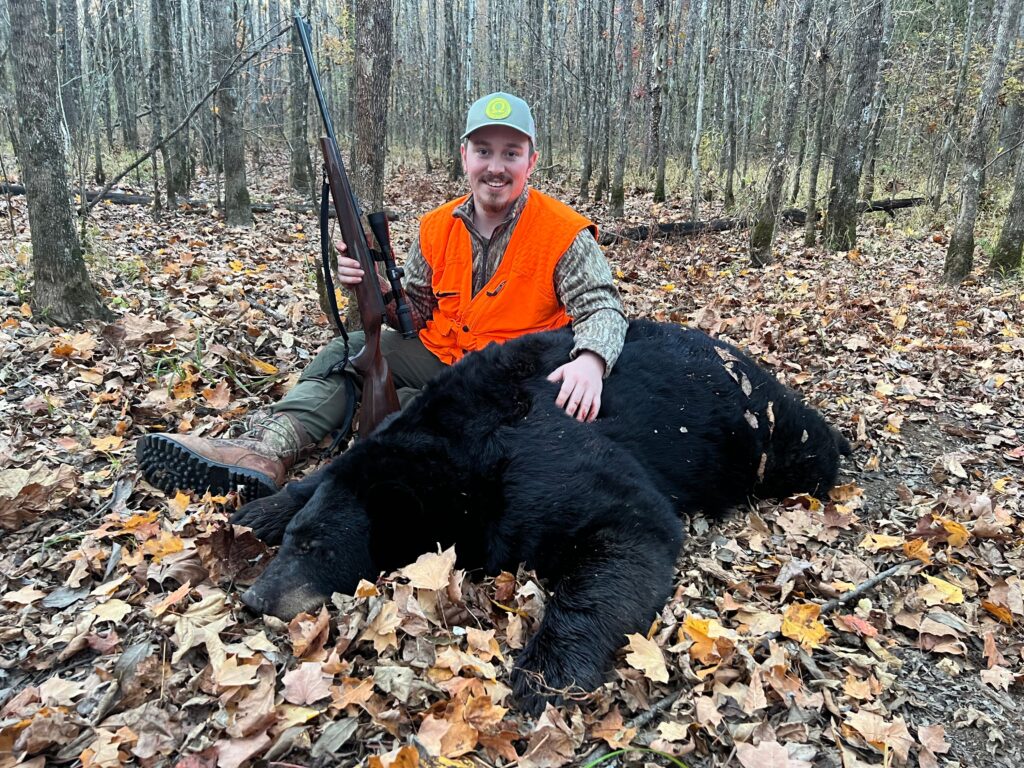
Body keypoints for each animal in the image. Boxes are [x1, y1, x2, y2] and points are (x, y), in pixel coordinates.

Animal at [233, 320, 850, 714]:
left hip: (762, 432)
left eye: (318, 550)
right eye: (296, 541)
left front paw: (545, 673)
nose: (255, 599)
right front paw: (262, 509)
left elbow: (631, 526)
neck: (458, 455)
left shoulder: (544, 464)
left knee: (808, 446)